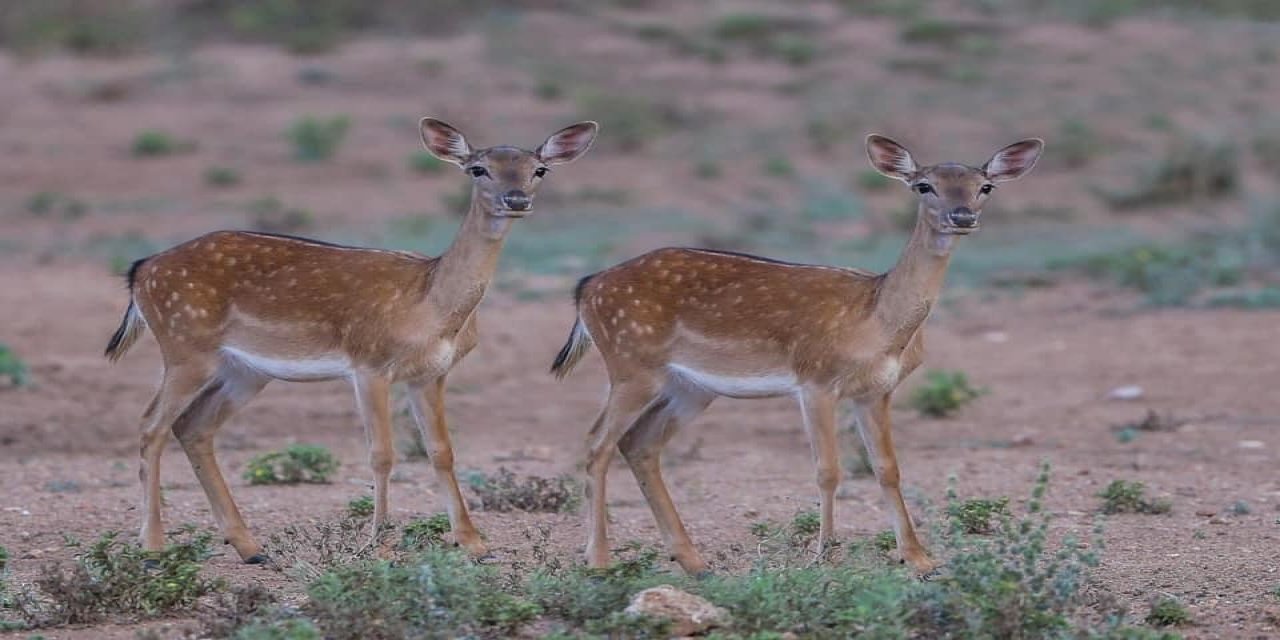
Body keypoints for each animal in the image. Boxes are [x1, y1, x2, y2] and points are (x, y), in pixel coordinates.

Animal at [104, 117, 599, 563]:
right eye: (478, 168)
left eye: (539, 169)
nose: (516, 200)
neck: (431, 304)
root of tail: (141, 271)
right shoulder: (369, 364)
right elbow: (382, 454)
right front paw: (380, 546)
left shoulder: (430, 374)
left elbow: (442, 452)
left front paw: (475, 545)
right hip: (185, 346)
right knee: (151, 425)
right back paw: (153, 548)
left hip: (245, 370)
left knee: (194, 426)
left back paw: (251, 549)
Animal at [547, 135, 1039, 576]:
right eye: (924, 185)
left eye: (984, 186)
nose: (962, 216)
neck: (879, 321)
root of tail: (587, 287)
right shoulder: (815, 380)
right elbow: (828, 470)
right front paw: (823, 557)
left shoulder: (876, 391)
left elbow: (887, 468)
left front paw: (919, 560)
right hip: (630, 363)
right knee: (596, 443)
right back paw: (599, 562)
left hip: (690, 387)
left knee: (639, 443)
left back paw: (695, 563)